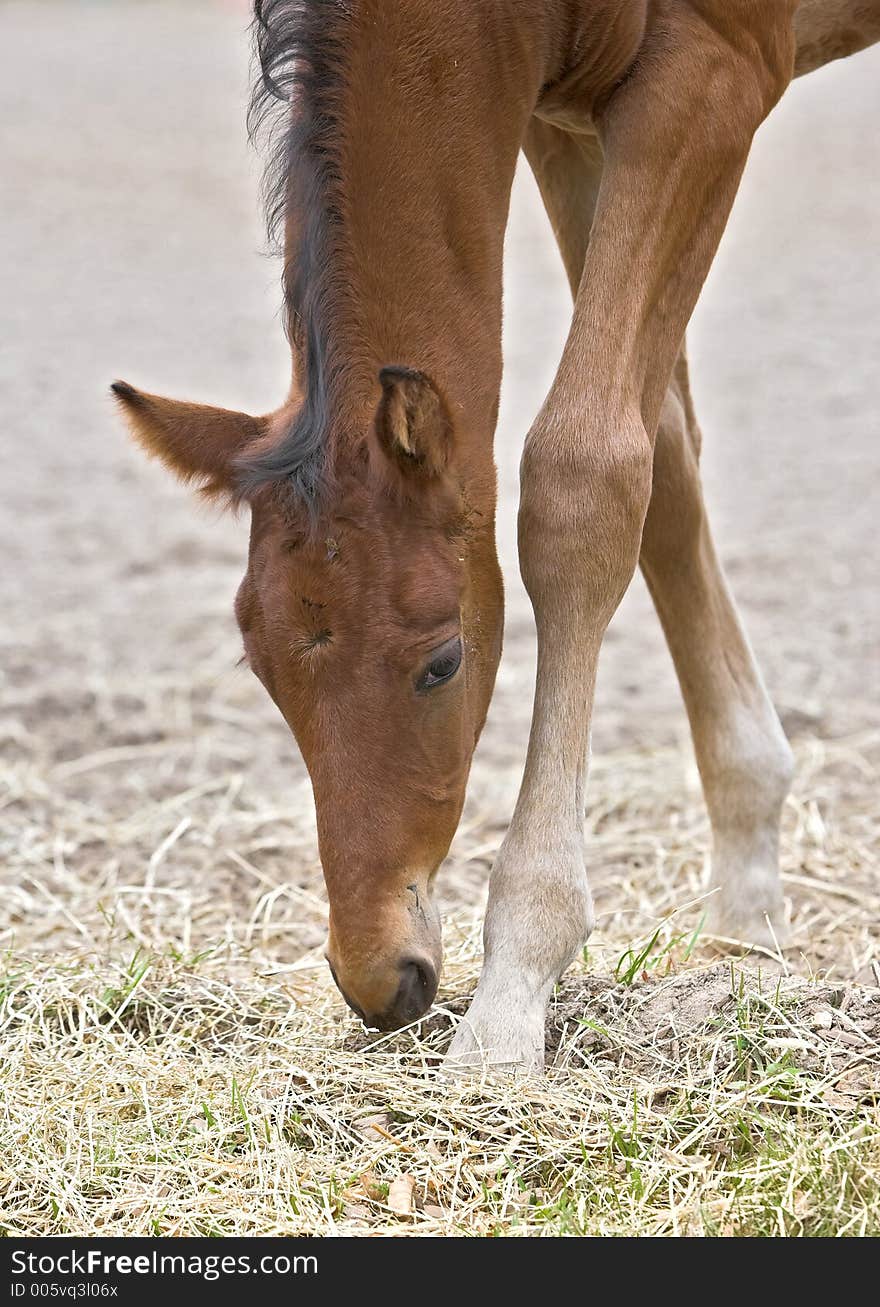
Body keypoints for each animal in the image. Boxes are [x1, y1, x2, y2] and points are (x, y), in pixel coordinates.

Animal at [115, 2, 878, 1071]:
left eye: (443, 662)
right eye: (263, 671)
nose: (380, 978)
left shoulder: (711, 80)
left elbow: (583, 474)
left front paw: (513, 990)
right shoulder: (566, 123)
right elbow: (661, 449)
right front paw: (747, 912)